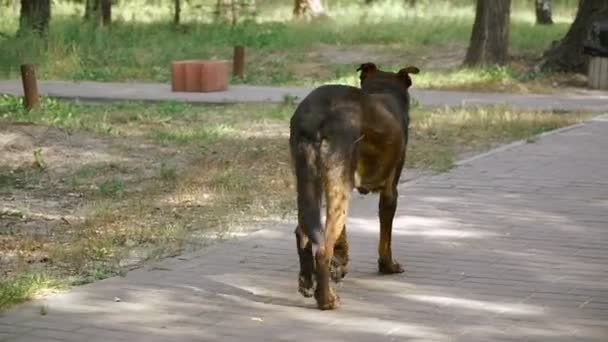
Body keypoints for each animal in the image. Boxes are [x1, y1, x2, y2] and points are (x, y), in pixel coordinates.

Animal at [288, 62, 418, 310]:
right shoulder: (390, 192)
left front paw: (340, 264)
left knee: (304, 232)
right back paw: (326, 299)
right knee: (323, 249)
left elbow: (343, 234)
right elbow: (385, 238)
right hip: (337, 188)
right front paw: (388, 266)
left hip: (309, 182)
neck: (382, 90)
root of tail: (318, 114)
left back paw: (307, 281)